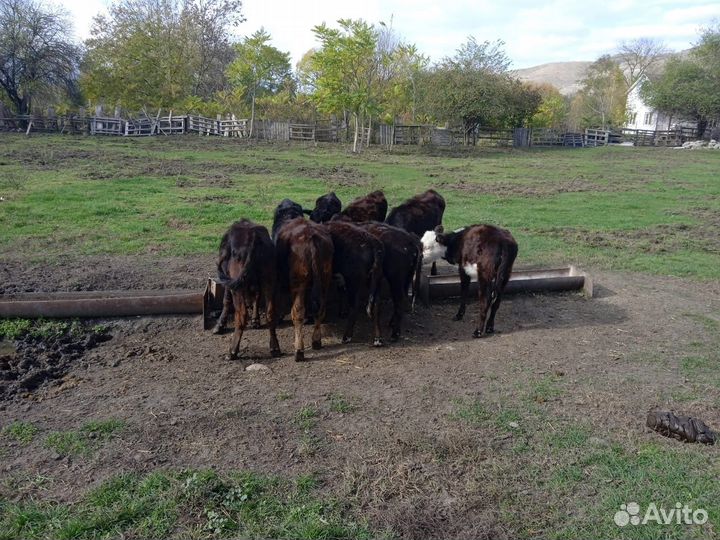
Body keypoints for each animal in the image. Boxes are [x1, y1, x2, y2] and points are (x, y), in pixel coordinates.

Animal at [214, 219, 280, 359]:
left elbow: (226, 300)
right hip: (269, 280)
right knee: (270, 313)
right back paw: (275, 347)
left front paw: (219, 325)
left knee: (242, 315)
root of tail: (253, 237)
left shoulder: (229, 279)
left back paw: (232, 351)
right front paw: (255, 320)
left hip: (237, 286)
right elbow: (257, 296)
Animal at [273, 202, 335, 361]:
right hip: (325, 278)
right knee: (320, 309)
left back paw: (299, 350)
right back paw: (316, 341)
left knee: (298, 312)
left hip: (298, 282)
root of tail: (311, 237)